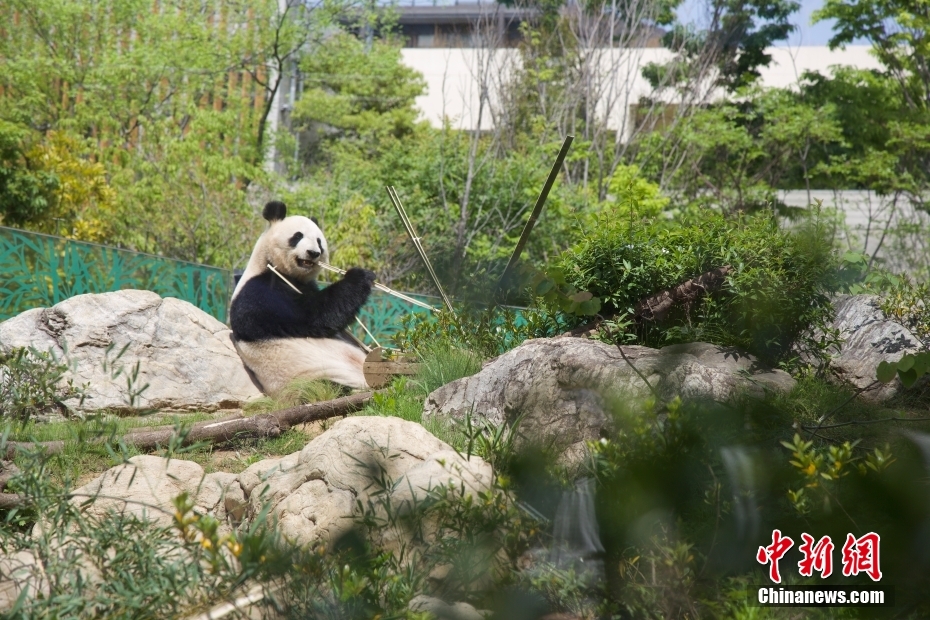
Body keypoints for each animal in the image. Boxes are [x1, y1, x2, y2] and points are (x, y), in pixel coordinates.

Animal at [227, 201, 374, 394]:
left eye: (319, 241)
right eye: (297, 236)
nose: (313, 252)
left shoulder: (306, 285)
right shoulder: (260, 294)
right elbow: (315, 315)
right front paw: (360, 276)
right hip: (316, 377)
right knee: (326, 389)